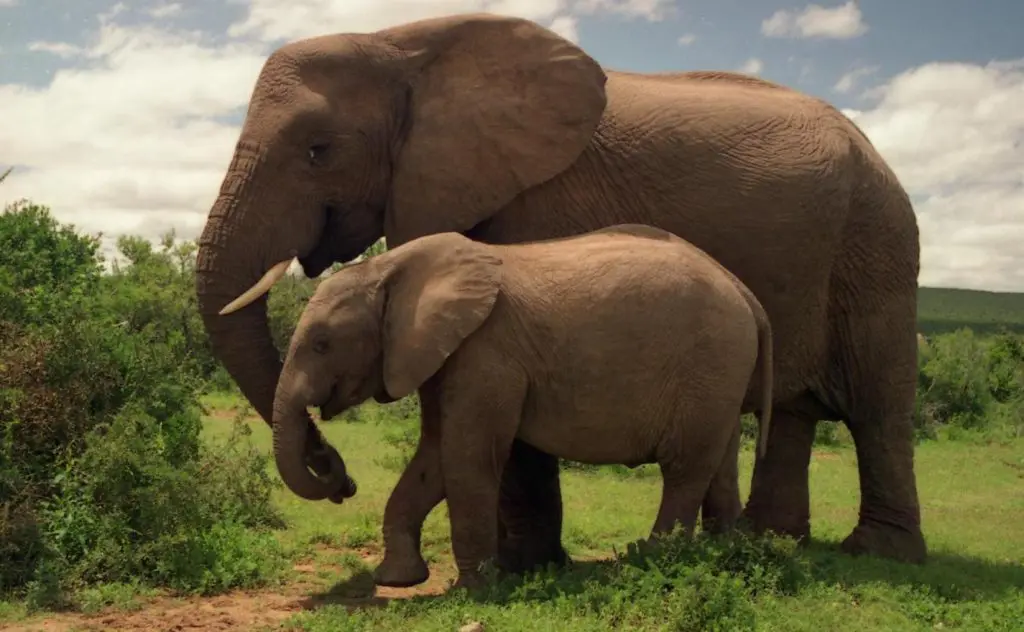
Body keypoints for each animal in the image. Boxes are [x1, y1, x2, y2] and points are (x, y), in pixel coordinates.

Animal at [268, 222, 770, 585]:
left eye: (321, 344)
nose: (344, 484)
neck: (390, 267)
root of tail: (745, 292)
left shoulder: (486, 353)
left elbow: (467, 457)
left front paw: (476, 589)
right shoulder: (443, 355)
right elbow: (434, 457)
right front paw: (397, 580)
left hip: (709, 361)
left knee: (685, 468)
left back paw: (651, 559)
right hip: (721, 373)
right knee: (720, 463)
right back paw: (723, 553)